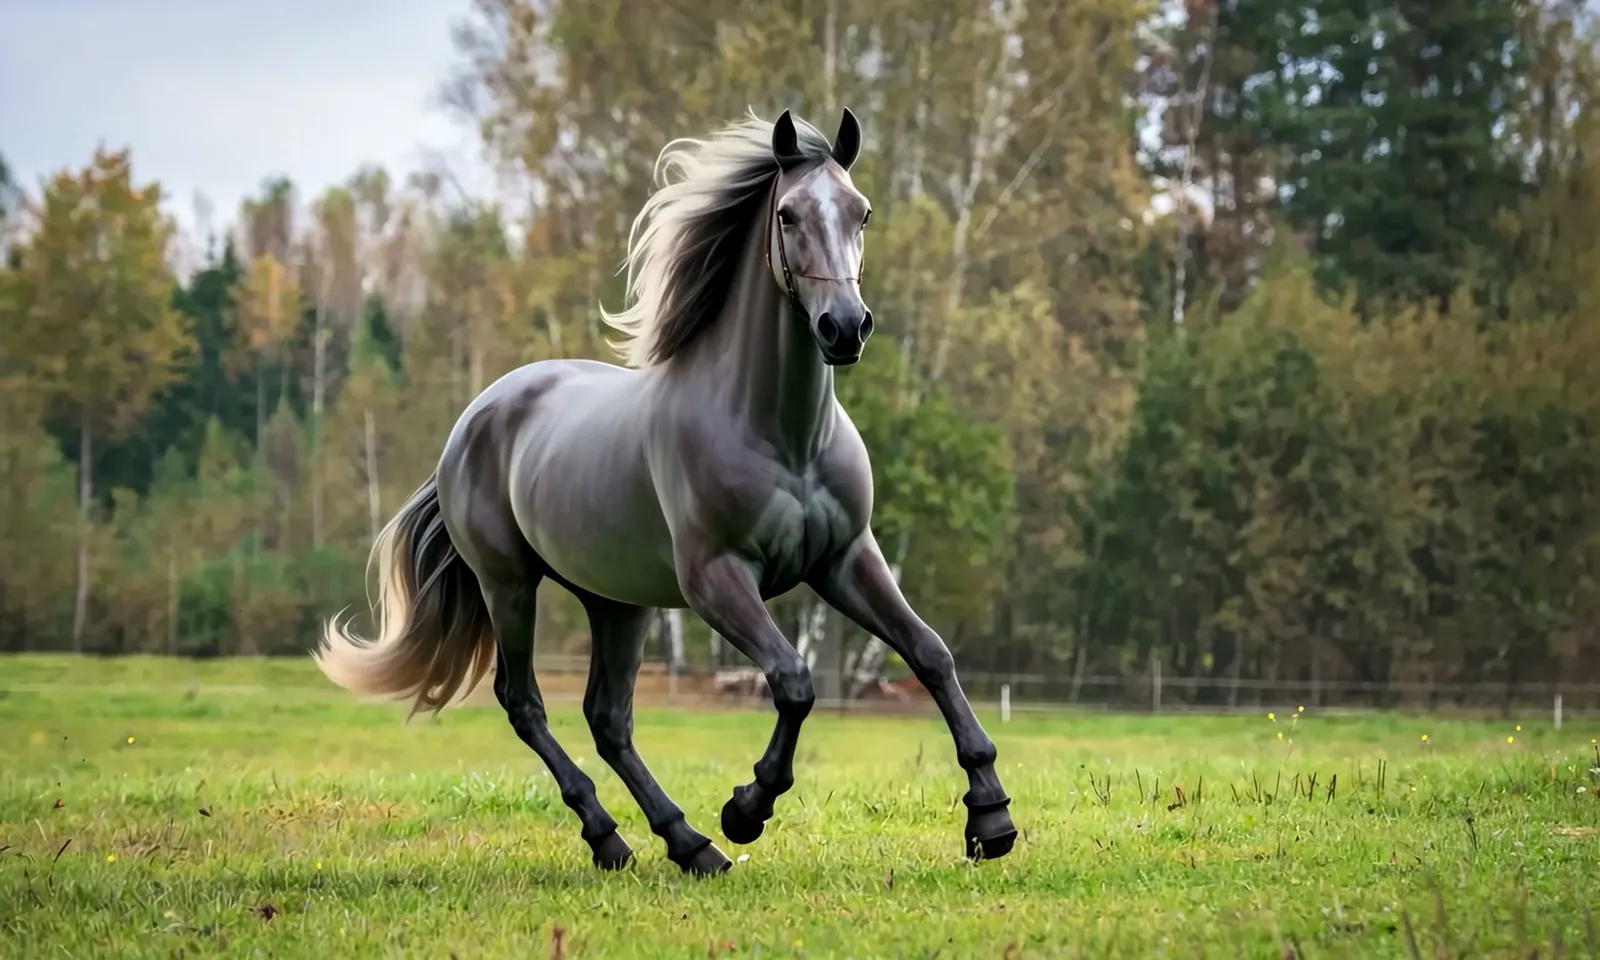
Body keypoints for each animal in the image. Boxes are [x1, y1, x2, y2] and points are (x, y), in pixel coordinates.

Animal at [315, 108, 1016, 875]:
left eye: (862, 211)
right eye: (789, 214)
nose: (845, 327)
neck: (781, 435)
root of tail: (475, 418)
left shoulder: (846, 560)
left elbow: (929, 653)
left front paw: (991, 817)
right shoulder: (717, 580)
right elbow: (794, 681)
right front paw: (747, 809)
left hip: (618, 603)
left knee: (608, 719)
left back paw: (686, 843)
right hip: (511, 586)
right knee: (524, 703)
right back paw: (616, 836)